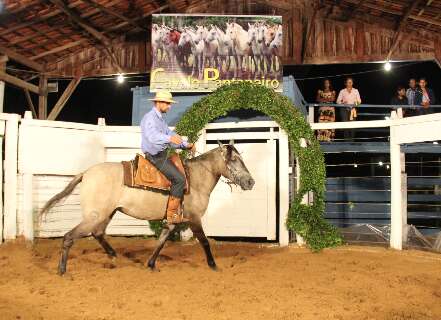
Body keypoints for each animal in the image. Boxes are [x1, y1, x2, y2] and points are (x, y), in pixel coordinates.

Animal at [41, 141, 256, 276]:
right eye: (234, 160)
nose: (250, 182)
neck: (195, 179)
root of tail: (86, 173)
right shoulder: (194, 218)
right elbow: (204, 242)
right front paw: (213, 265)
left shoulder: (172, 221)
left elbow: (161, 241)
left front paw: (151, 264)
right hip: (95, 215)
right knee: (69, 237)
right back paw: (62, 270)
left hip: (107, 213)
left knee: (98, 233)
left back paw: (113, 256)